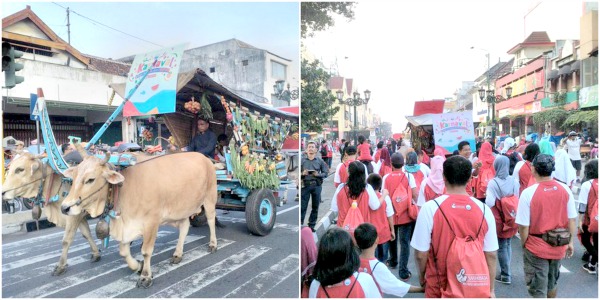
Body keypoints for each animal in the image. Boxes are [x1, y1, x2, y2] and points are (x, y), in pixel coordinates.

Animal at [60, 148, 218, 288]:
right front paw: (138, 266)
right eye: (73, 177)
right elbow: (124, 252)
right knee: (184, 227)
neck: (125, 187)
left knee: (211, 221)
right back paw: (178, 254)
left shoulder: (151, 222)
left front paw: (145, 276)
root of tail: (205, 158)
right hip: (181, 209)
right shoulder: (126, 226)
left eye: (90, 179)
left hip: (210, 198)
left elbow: (146, 251)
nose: (64, 208)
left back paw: (213, 244)